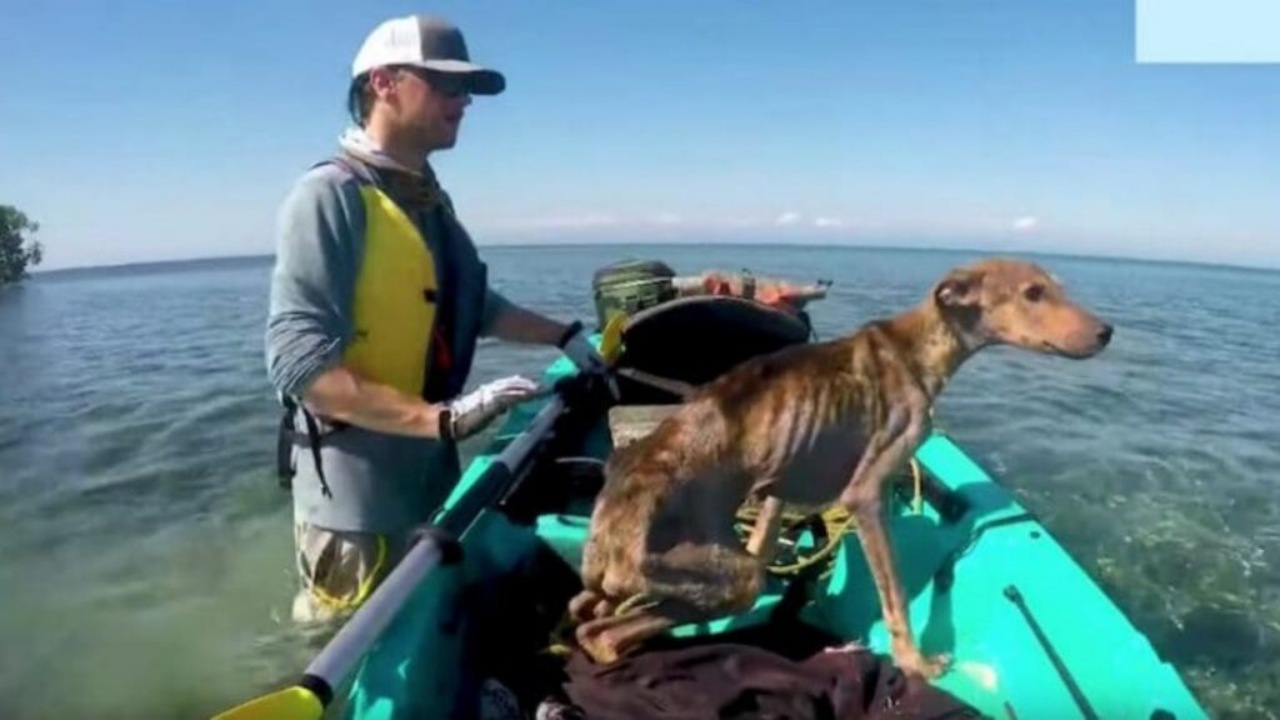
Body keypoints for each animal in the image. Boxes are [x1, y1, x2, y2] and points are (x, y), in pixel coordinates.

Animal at [565, 257, 1116, 676]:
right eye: (1033, 293)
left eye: (1054, 287)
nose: (1107, 332)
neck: (917, 348)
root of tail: (602, 534)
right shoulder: (866, 494)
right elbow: (895, 595)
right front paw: (915, 664)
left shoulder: (782, 483)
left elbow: (767, 532)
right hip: (727, 577)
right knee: (604, 633)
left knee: (594, 622)